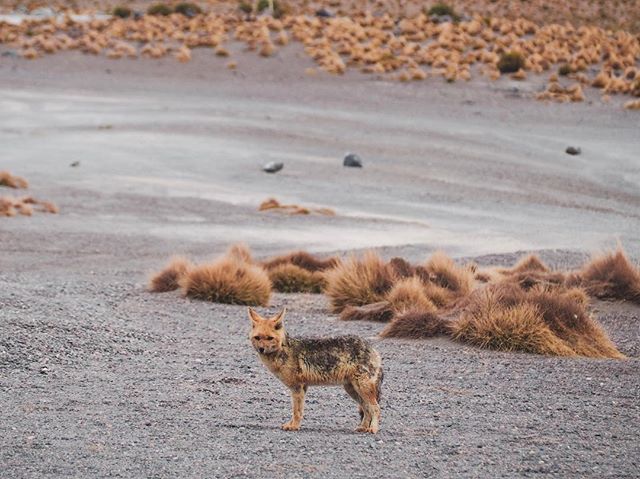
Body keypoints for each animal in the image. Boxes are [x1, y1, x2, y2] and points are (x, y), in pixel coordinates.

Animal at [249, 308, 380, 436]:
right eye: (257, 338)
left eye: (269, 338)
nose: (261, 349)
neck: (284, 350)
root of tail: (372, 348)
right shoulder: (302, 388)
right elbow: (297, 410)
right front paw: (292, 424)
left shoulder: (297, 387)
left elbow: (296, 411)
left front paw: (294, 426)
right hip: (352, 390)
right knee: (367, 409)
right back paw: (363, 427)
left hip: (362, 389)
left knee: (376, 408)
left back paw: (373, 429)